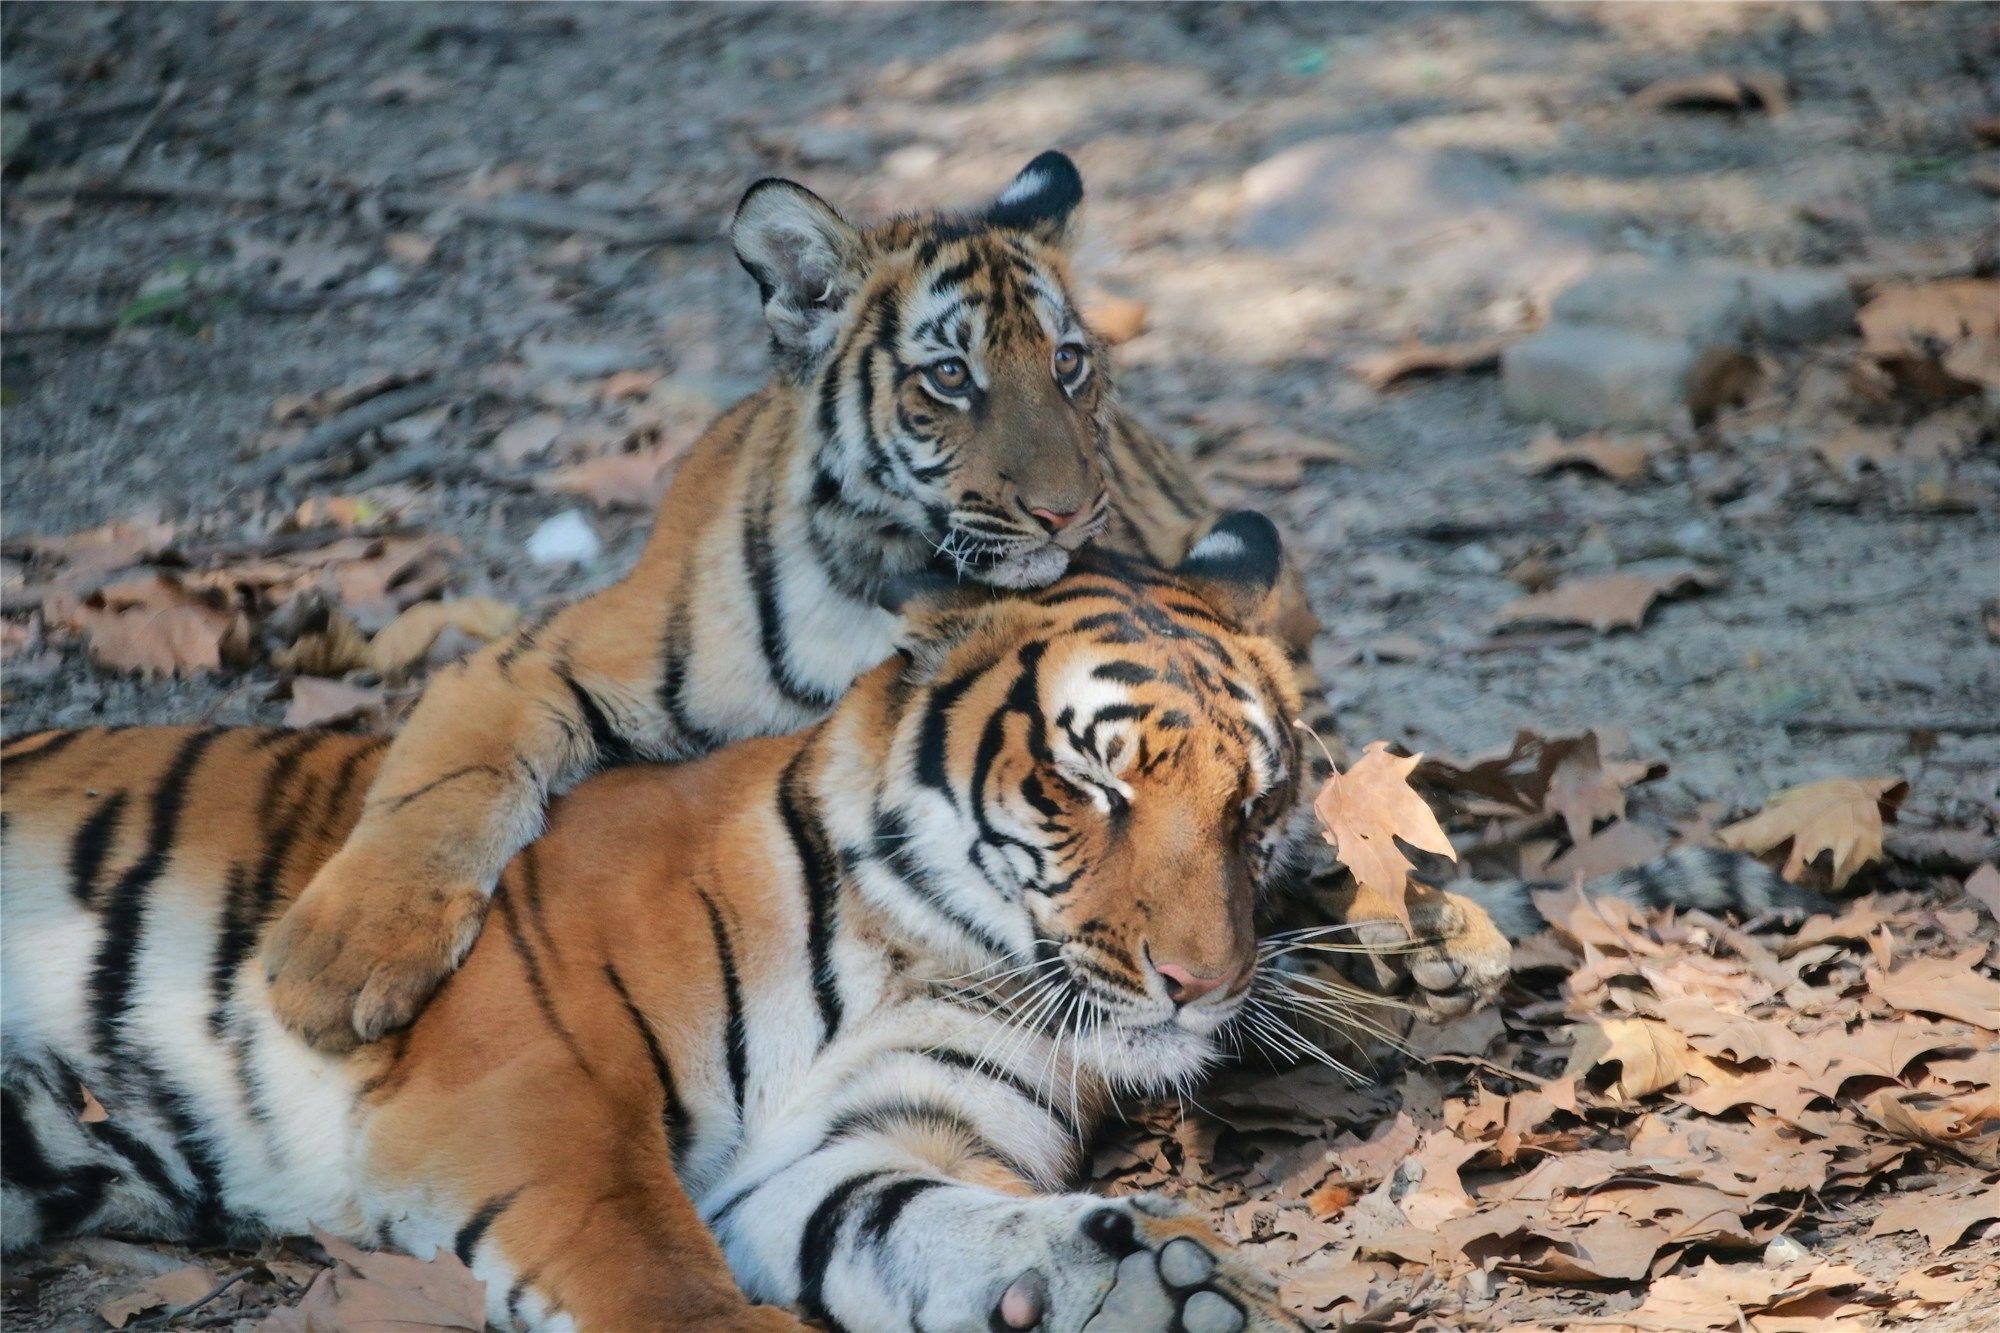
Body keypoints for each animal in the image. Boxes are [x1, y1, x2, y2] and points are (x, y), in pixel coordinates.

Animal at [7, 528, 1328, 1328]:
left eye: (1256, 804)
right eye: (1082, 787)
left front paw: (1154, 1281)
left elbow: (924, 1221)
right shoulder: (530, 1084)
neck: (923, 952)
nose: (1201, 983)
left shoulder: (846, 1150)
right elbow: (657, 1277)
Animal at [266, 150, 1504, 1056]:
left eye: (1068, 363)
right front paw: (338, 963)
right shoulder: (530, 660)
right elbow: (441, 784)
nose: (1068, 512)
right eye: (948, 376)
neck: (908, 581)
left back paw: (1439, 928)